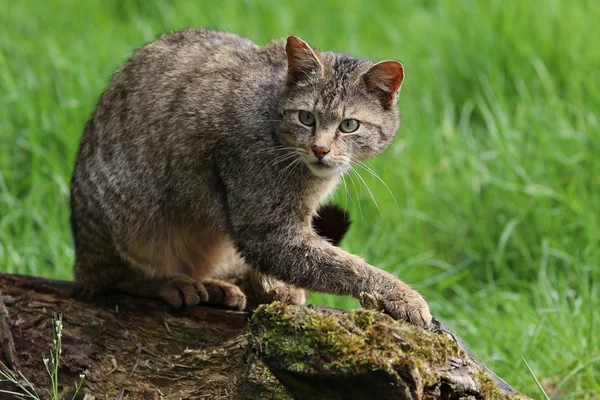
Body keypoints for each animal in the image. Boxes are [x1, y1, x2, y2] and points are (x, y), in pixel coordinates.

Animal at [71, 29, 432, 326]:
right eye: (306, 118)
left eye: (349, 125)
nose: (319, 149)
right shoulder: (266, 229)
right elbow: (347, 266)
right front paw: (403, 295)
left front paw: (273, 287)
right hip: (131, 220)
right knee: (113, 278)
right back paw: (172, 282)